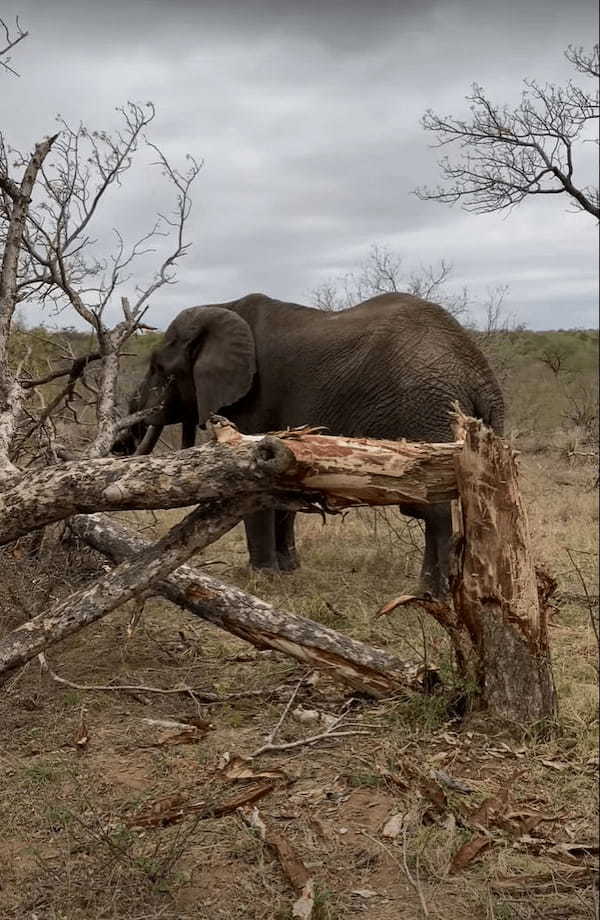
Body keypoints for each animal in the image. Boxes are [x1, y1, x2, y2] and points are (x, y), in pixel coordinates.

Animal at [112, 292, 502, 596]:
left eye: (158, 368)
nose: (120, 447)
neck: (223, 308)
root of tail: (482, 378)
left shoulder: (253, 398)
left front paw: (262, 579)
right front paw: (287, 570)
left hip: (428, 409)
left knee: (433, 507)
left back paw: (429, 592)